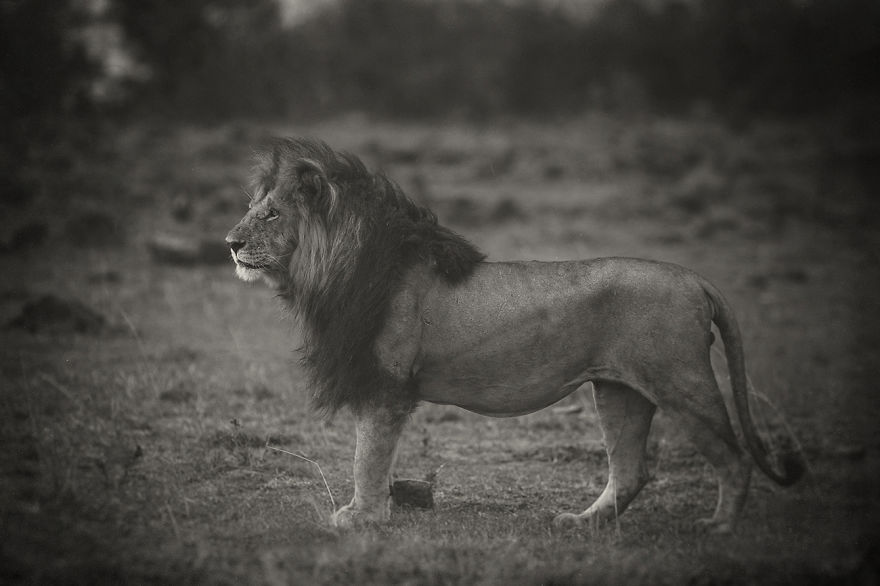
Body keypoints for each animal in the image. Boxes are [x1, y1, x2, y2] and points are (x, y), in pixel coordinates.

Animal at [225, 137, 804, 534]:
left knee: (733, 457)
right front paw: (377, 508)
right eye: (250, 209)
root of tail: (693, 277)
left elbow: (367, 454)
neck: (333, 269)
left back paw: (718, 527)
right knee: (631, 470)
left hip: (680, 382)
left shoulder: (387, 383)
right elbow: (375, 454)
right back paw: (581, 524)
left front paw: (361, 516)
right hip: (618, 390)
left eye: (271, 214)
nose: (229, 242)